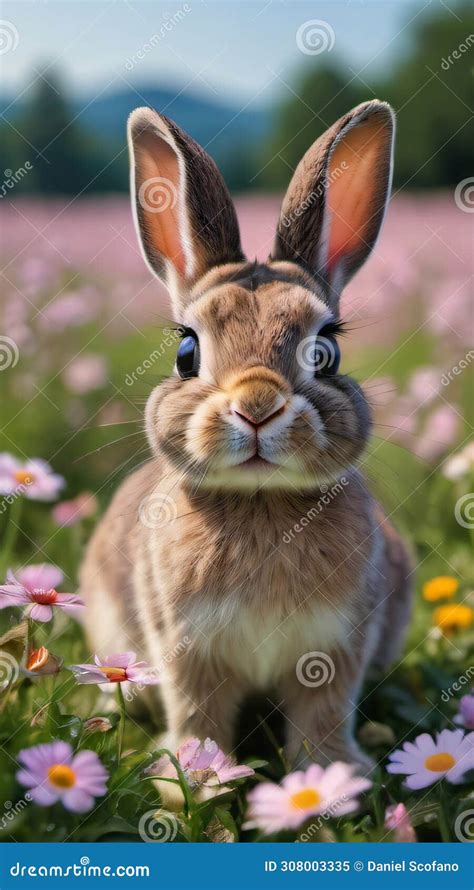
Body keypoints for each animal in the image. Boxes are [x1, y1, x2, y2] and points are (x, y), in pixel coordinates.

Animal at [81, 95, 412, 764]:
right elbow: (198, 714)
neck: (261, 500)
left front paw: (335, 777)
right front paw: (196, 776)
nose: (257, 406)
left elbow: (321, 718)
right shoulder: (186, 650)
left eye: (326, 352)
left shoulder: (335, 648)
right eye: (185, 351)